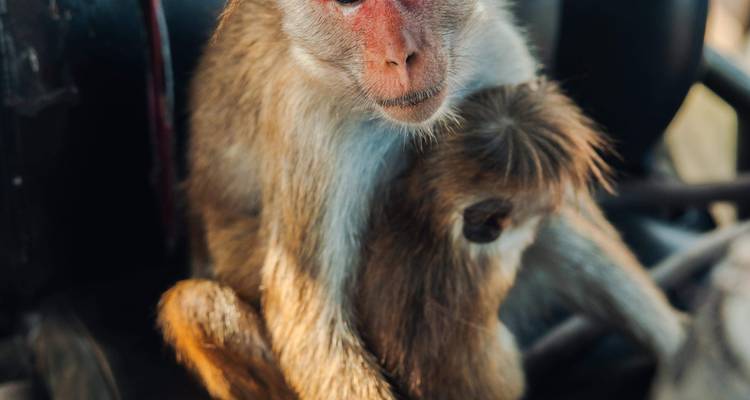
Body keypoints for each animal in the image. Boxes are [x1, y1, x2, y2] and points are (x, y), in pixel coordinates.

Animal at [158, 0, 686, 399]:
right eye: (348, 0)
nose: (401, 56)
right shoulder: (311, 126)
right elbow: (310, 326)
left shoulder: (497, 48)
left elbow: (555, 206)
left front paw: (685, 350)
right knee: (199, 306)